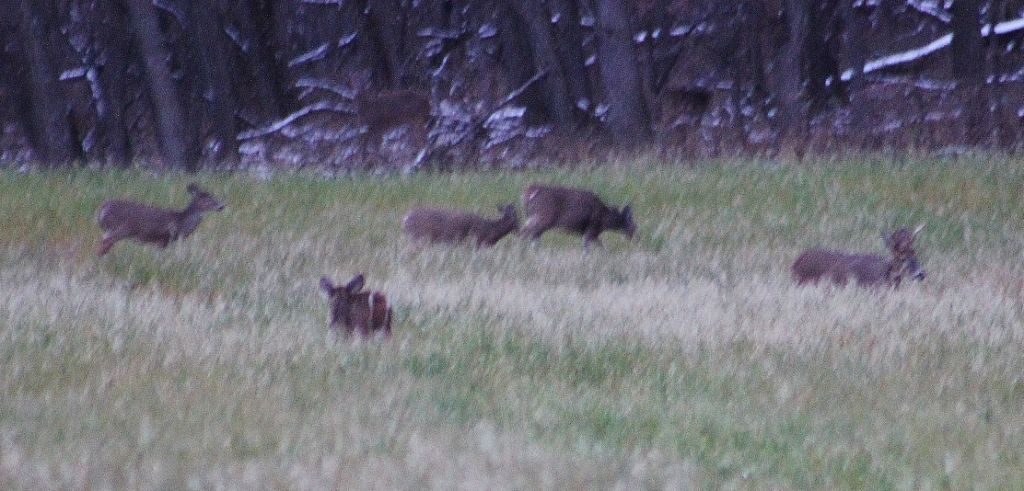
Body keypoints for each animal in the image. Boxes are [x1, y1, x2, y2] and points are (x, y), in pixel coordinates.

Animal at [95, 181, 224, 257]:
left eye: (214, 197)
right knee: (105, 243)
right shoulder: (162, 239)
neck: (180, 223)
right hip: (121, 228)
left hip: (110, 230)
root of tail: (103, 208)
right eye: (207, 200)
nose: (221, 206)